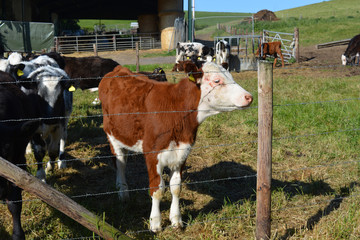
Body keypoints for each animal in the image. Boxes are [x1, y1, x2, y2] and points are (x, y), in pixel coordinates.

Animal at [97, 62, 252, 232]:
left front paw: (176, 219)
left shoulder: (182, 152)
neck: (176, 112)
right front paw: (155, 223)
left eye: (230, 75)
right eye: (217, 80)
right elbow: (157, 189)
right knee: (120, 162)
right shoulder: (152, 153)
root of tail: (118, 69)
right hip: (111, 134)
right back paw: (123, 192)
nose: (249, 97)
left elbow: (176, 187)